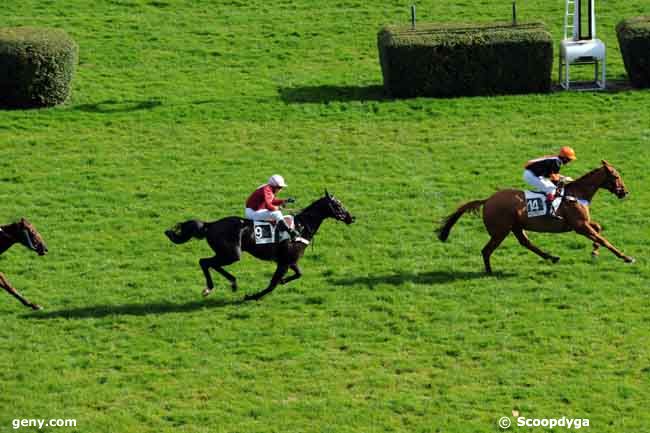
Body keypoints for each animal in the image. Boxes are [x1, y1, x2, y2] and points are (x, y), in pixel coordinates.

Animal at [163, 192, 354, 300]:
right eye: (337, 204)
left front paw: (283, 281)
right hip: (232, 254)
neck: (301, 226)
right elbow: (272, 284)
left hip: (227, 254)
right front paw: (252, 296)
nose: (351, 217)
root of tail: (211, 224)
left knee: (209, 263)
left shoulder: (290, 260)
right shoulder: (284, 262)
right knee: (205, 262)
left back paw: (231, 283)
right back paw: (212, 287)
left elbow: (298, 274)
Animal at [436, 160, 632, 272]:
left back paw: (552, 257)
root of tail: (487, 200)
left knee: (525, 242)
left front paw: (594, 251)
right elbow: (603, 239)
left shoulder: (582, 224)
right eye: (616, 176)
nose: (624, 192)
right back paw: (489, 272)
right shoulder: (579, 225)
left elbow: (598, 230)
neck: (577, 193)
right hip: (501, 231)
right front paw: (626, 257)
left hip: (515, 227)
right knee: (487, 250)